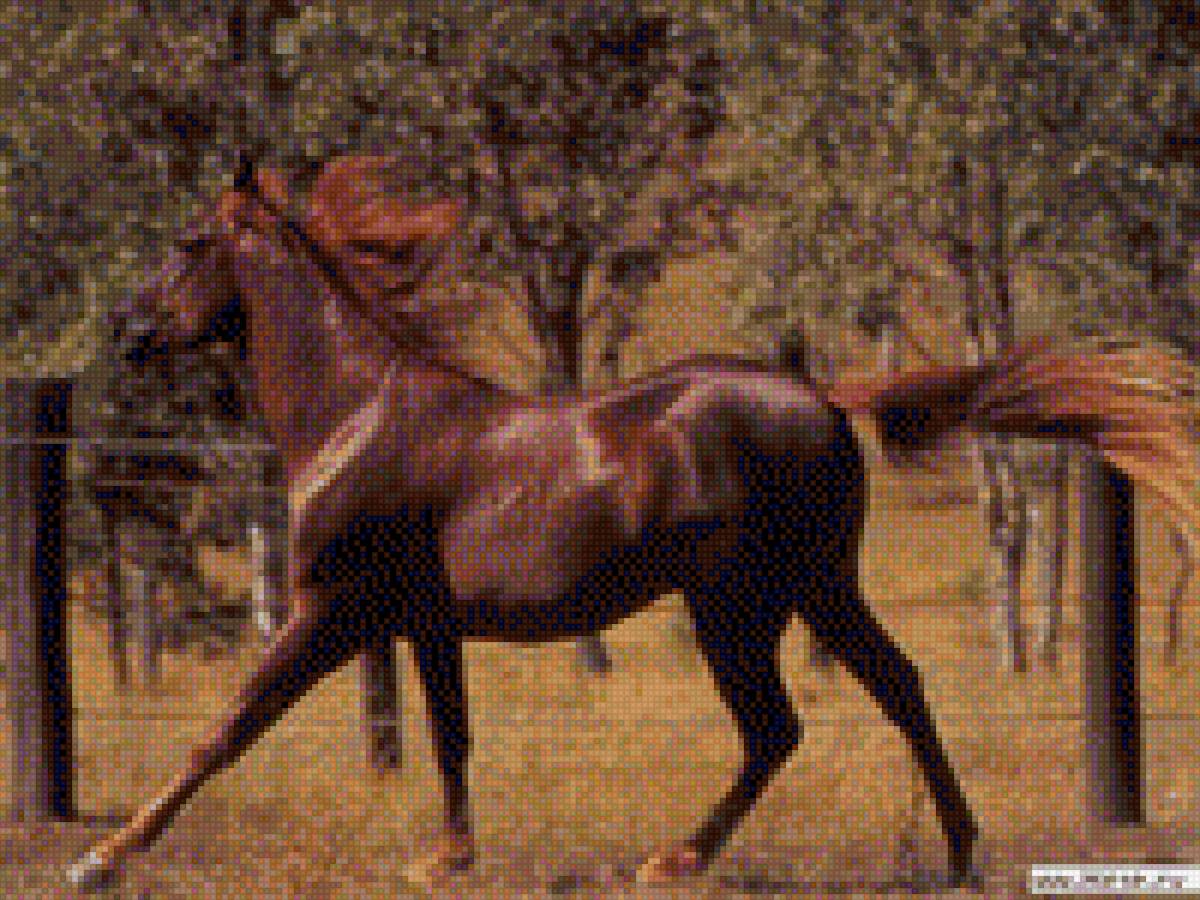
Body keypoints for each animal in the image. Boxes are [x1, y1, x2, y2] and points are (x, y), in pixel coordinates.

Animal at [69, 155, 1200, 891]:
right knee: (887, 690)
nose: (124, 330)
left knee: (782, 725)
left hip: (741, 605)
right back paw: (957, 852)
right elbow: (449, 735)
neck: (357, 414)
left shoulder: (332, 610)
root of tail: (822, 395)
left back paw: (681, 858)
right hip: (809, 592)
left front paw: (102, 857)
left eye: (186, 243)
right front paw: (449, 857)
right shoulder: (425, 624)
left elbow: (229, 727)